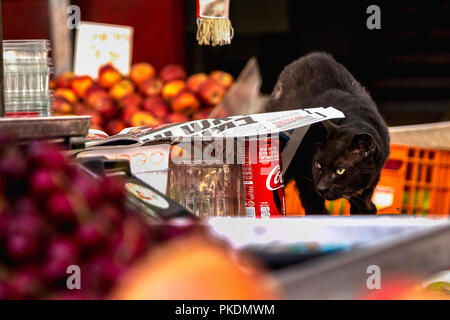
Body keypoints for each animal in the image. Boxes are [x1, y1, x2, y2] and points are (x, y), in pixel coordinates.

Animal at [268, 52, 390, 215]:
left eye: (340, 171)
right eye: (318, 165)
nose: (322, 187)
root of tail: (310, 56)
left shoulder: (373, 177)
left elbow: (364, 200)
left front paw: (367, 209)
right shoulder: (303, 172)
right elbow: (313, 202)